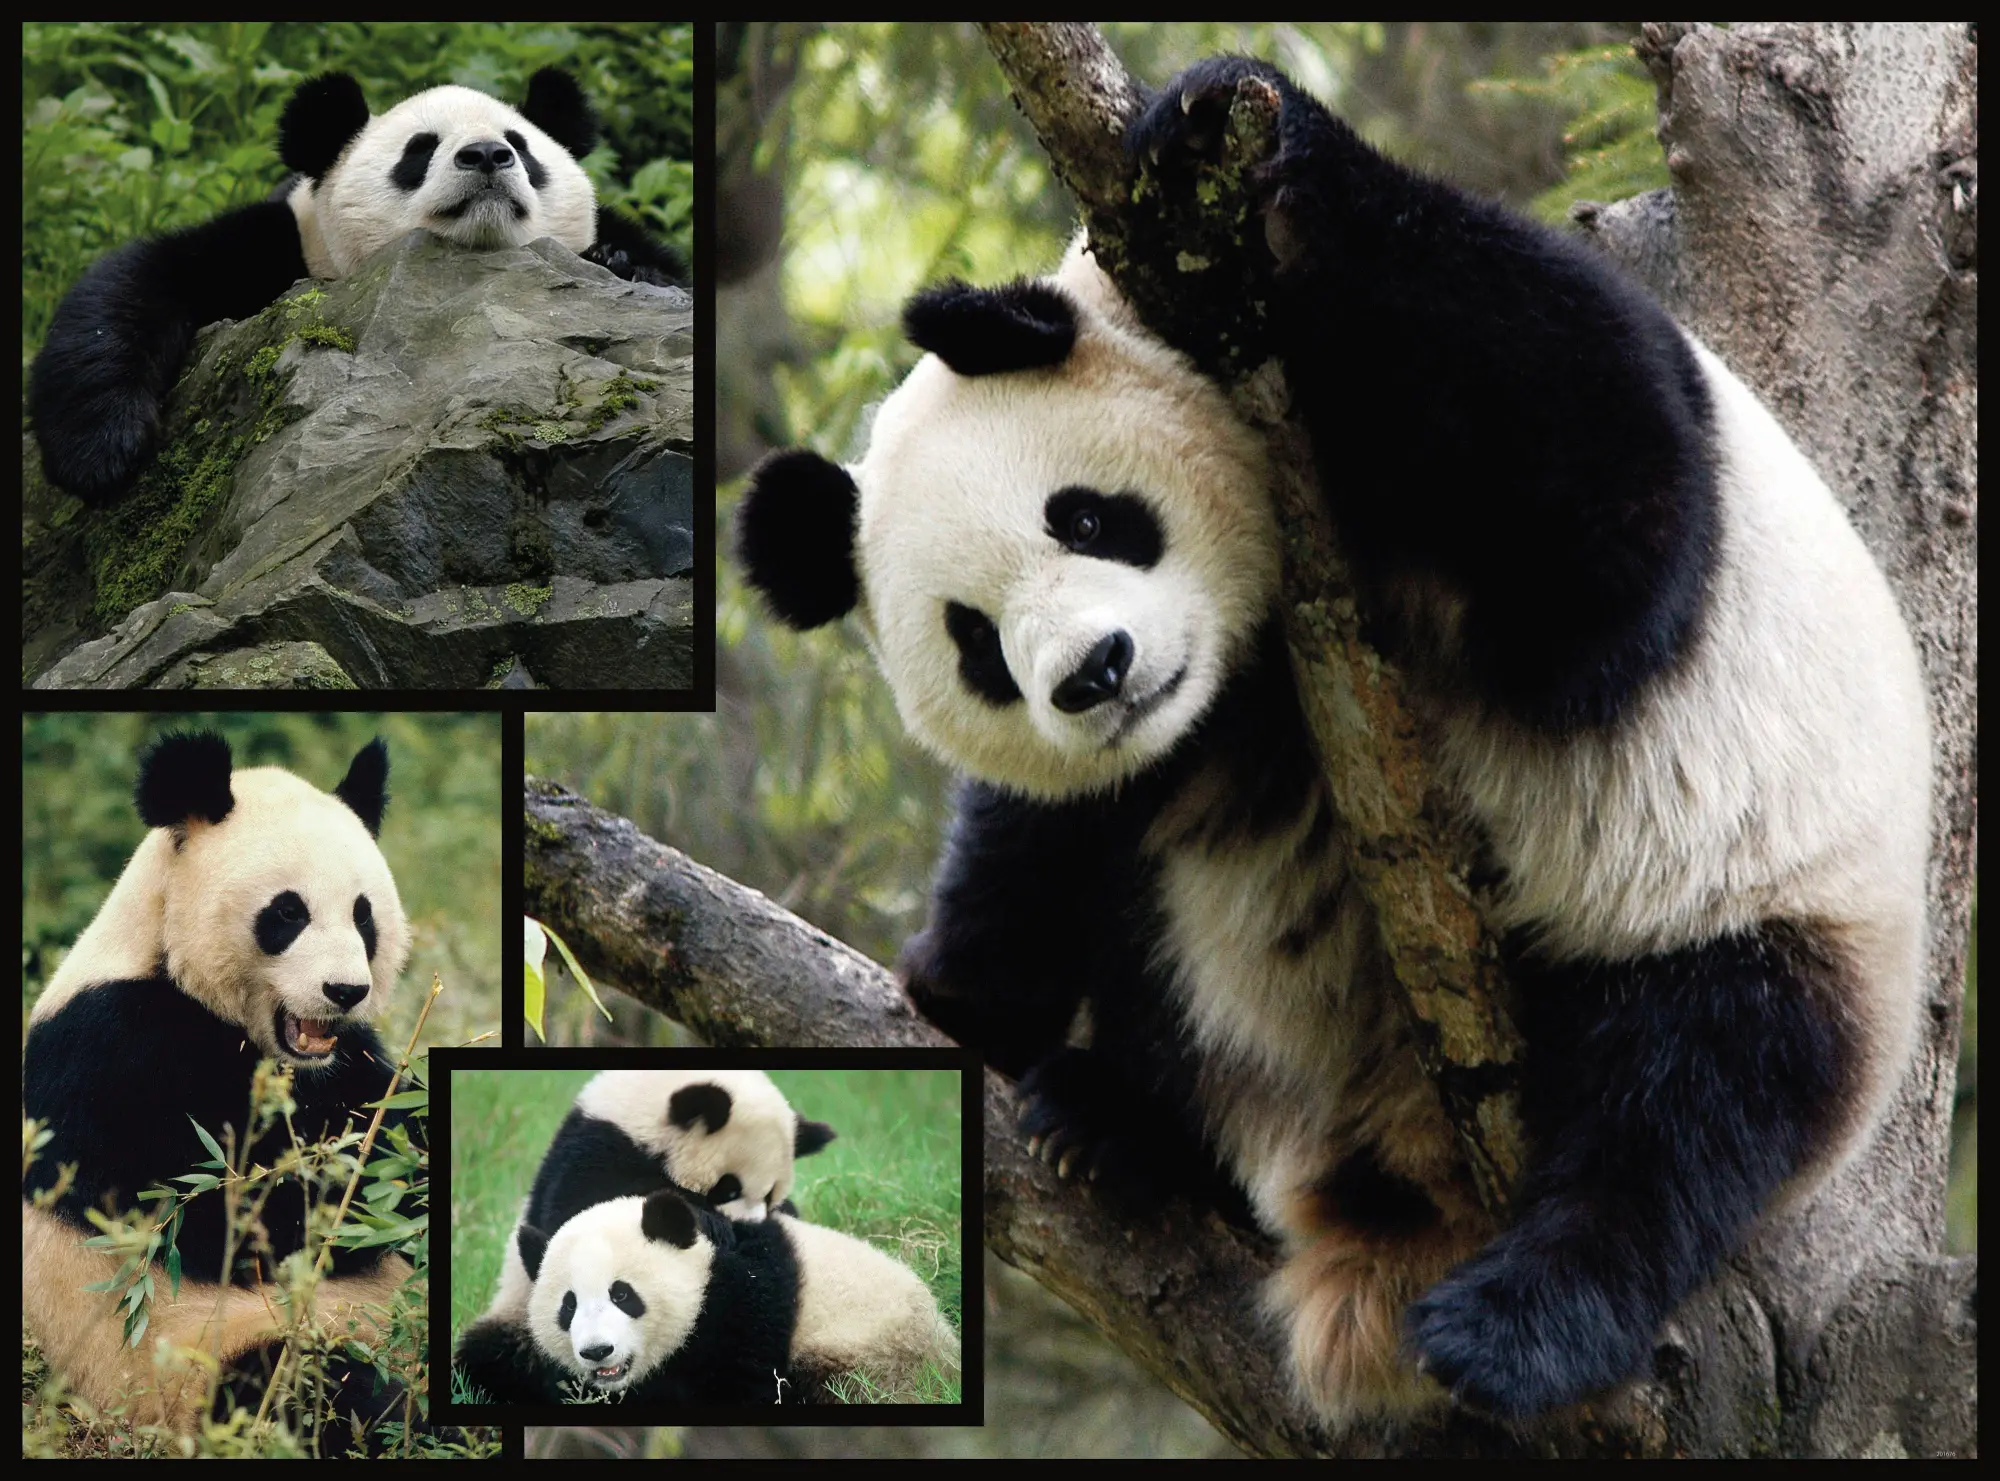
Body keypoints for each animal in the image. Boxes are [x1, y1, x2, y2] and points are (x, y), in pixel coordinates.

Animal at [21, 730, 422, 1445]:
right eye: (287, 912)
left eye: (364, 915)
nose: (345, 990)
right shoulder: (111, 1054)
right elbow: (217, 1218)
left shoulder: (348, 1061)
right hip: (199, 1364)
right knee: (316, 1386)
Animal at [29, 66, 686, 505]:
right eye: (419, 151)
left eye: (521, 147)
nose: (486, 155)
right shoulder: (283, 242)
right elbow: (139, 280)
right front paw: (102, 452)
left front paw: (623, 263)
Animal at [734, 55, 1933, 1426]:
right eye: (975, 643)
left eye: (1085, 516)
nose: (1094, 675)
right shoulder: (1178, 730)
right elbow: (1047, 832)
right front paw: (964, 983)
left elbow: (1606, 519)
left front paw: (1227, 128)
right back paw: (1117, 1124)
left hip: (1766, 903)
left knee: (1695, 1095)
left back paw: (1517, 1322)